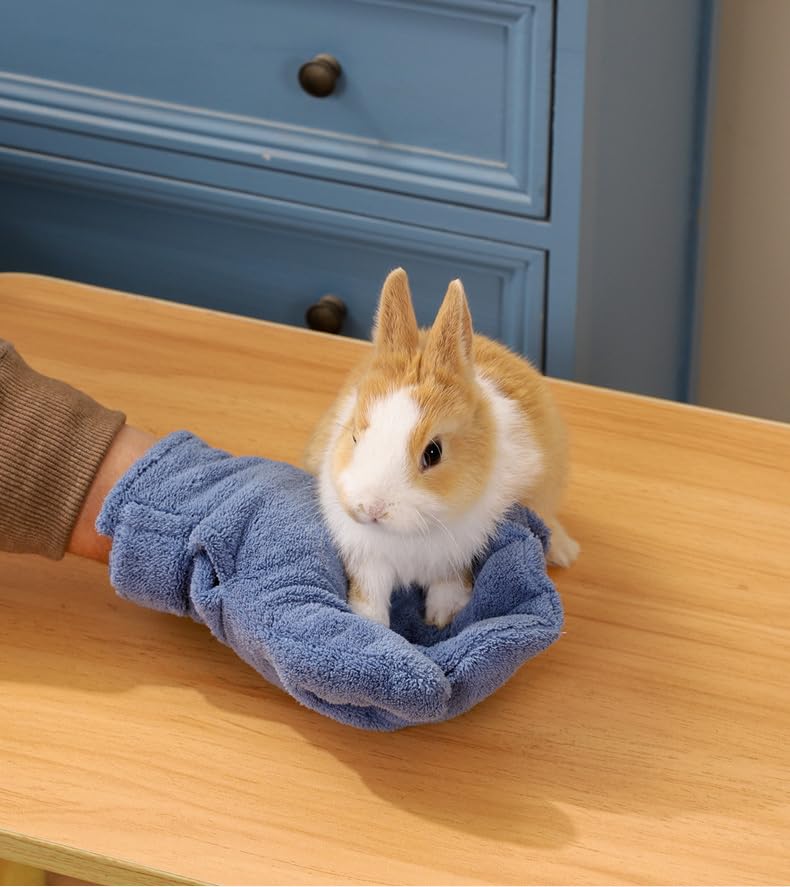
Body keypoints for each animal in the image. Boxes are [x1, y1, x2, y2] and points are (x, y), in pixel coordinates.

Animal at [304, 268, 579, 628]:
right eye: (354, 436)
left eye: (433, 453)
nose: (373, 508)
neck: (407, 534)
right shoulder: (368, 559)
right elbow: (369, 593)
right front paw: (371, 623)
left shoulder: (457, 557)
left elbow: (450, 583)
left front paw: (443, 619)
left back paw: (565, 552)